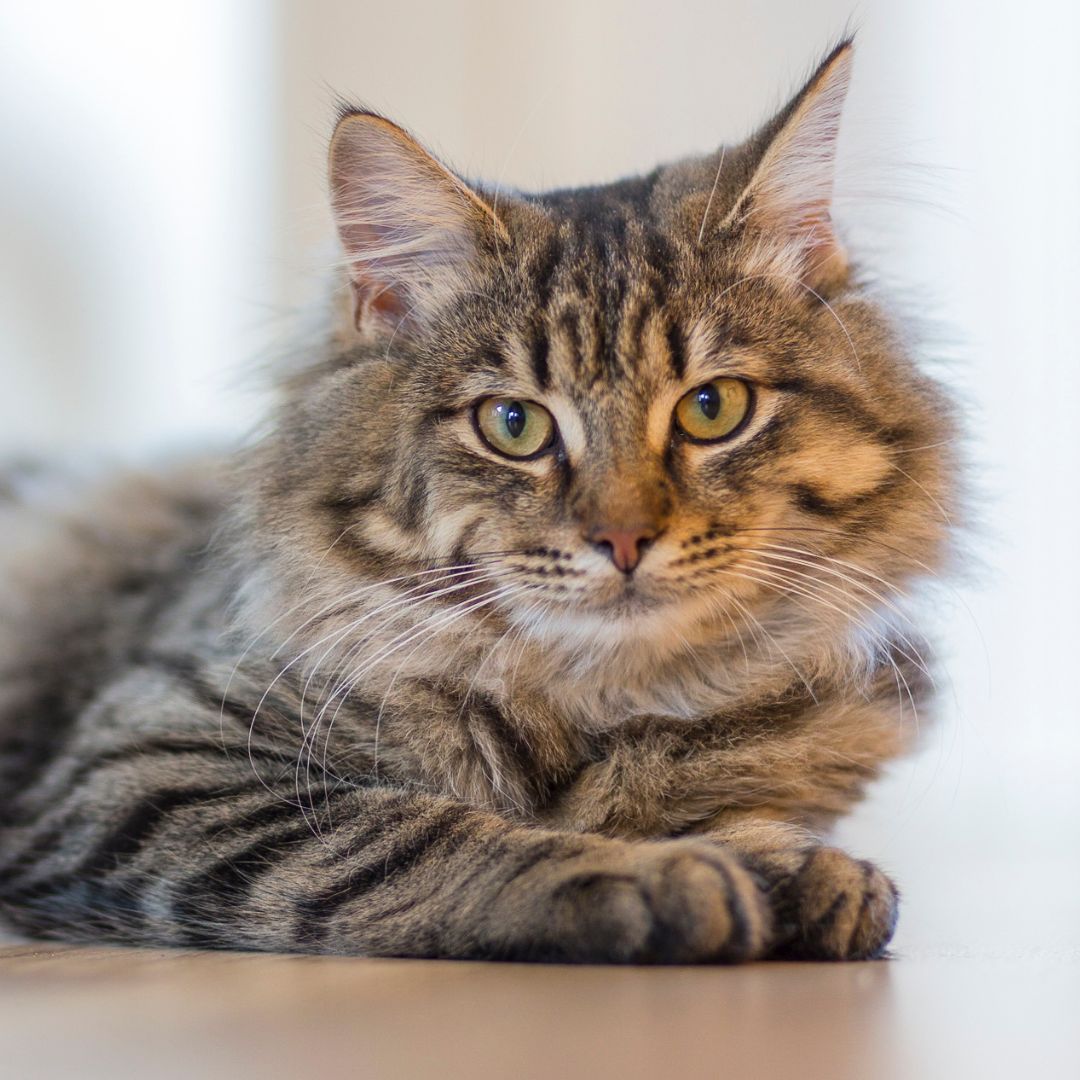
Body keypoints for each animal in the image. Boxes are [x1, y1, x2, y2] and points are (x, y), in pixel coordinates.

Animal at [0, 42, 959, 967]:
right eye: (514, 424)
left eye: (712, 408)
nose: (623, 537)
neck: (598, 702)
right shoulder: (153, 761)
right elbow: (421, 835)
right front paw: (652, 872)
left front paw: (797, 866)